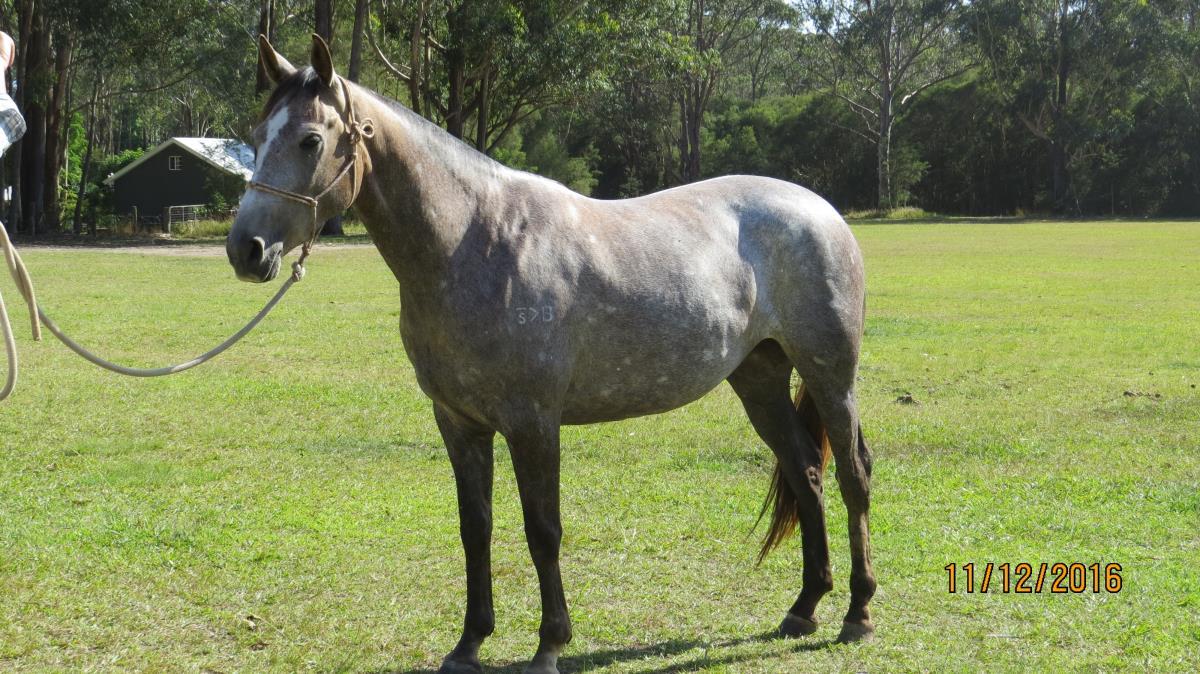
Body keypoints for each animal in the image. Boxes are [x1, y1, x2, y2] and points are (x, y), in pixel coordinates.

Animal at [227, 35, 876, 674]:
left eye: (311, 140)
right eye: (256, 138)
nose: (245, 250)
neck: (472, 243)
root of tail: (819, 209)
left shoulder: (533, 422)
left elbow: (542, 530)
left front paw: (549, 645)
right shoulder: (459, 423)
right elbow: (475, 529)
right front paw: (469, 643)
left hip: (830, 373)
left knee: (852, 475)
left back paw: (857, 614)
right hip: (759, 377)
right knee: (806, 471)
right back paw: (804, 607)